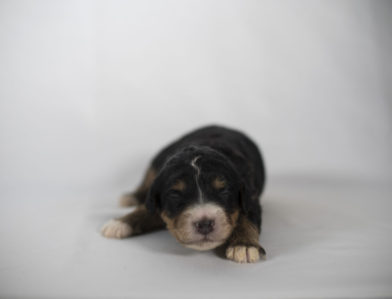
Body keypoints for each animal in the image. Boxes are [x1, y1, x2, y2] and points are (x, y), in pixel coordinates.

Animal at [101, 125, 266, 264]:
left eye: (224, 191)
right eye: (175, 195)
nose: (205, 223)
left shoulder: (250, 194)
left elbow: (247, 217)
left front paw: (244, 245)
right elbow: (147, 209)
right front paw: (120, 223)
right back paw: (131, 197)